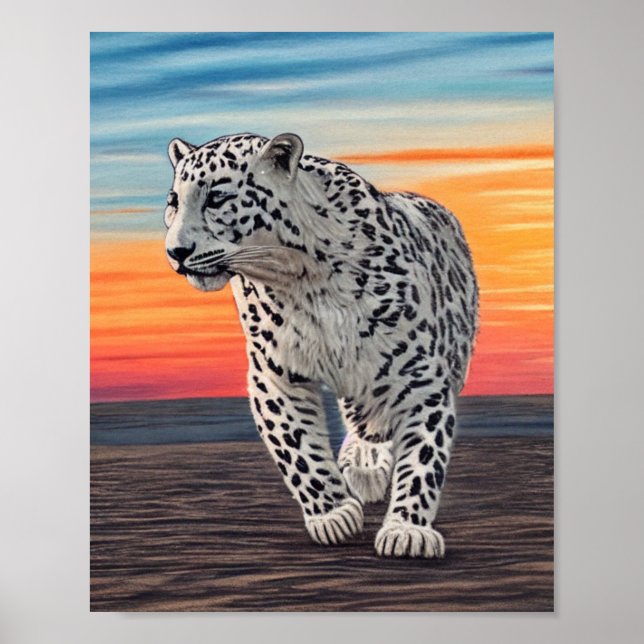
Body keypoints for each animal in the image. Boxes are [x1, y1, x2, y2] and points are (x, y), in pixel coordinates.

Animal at [164, 132, 479, 558]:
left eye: (217, 197)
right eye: (173, 201)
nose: (175, 252)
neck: (304, 280)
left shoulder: (421, 378)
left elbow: (423, 456)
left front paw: (406, 530)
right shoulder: (275, 373)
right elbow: (295, 446)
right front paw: (333, 515)